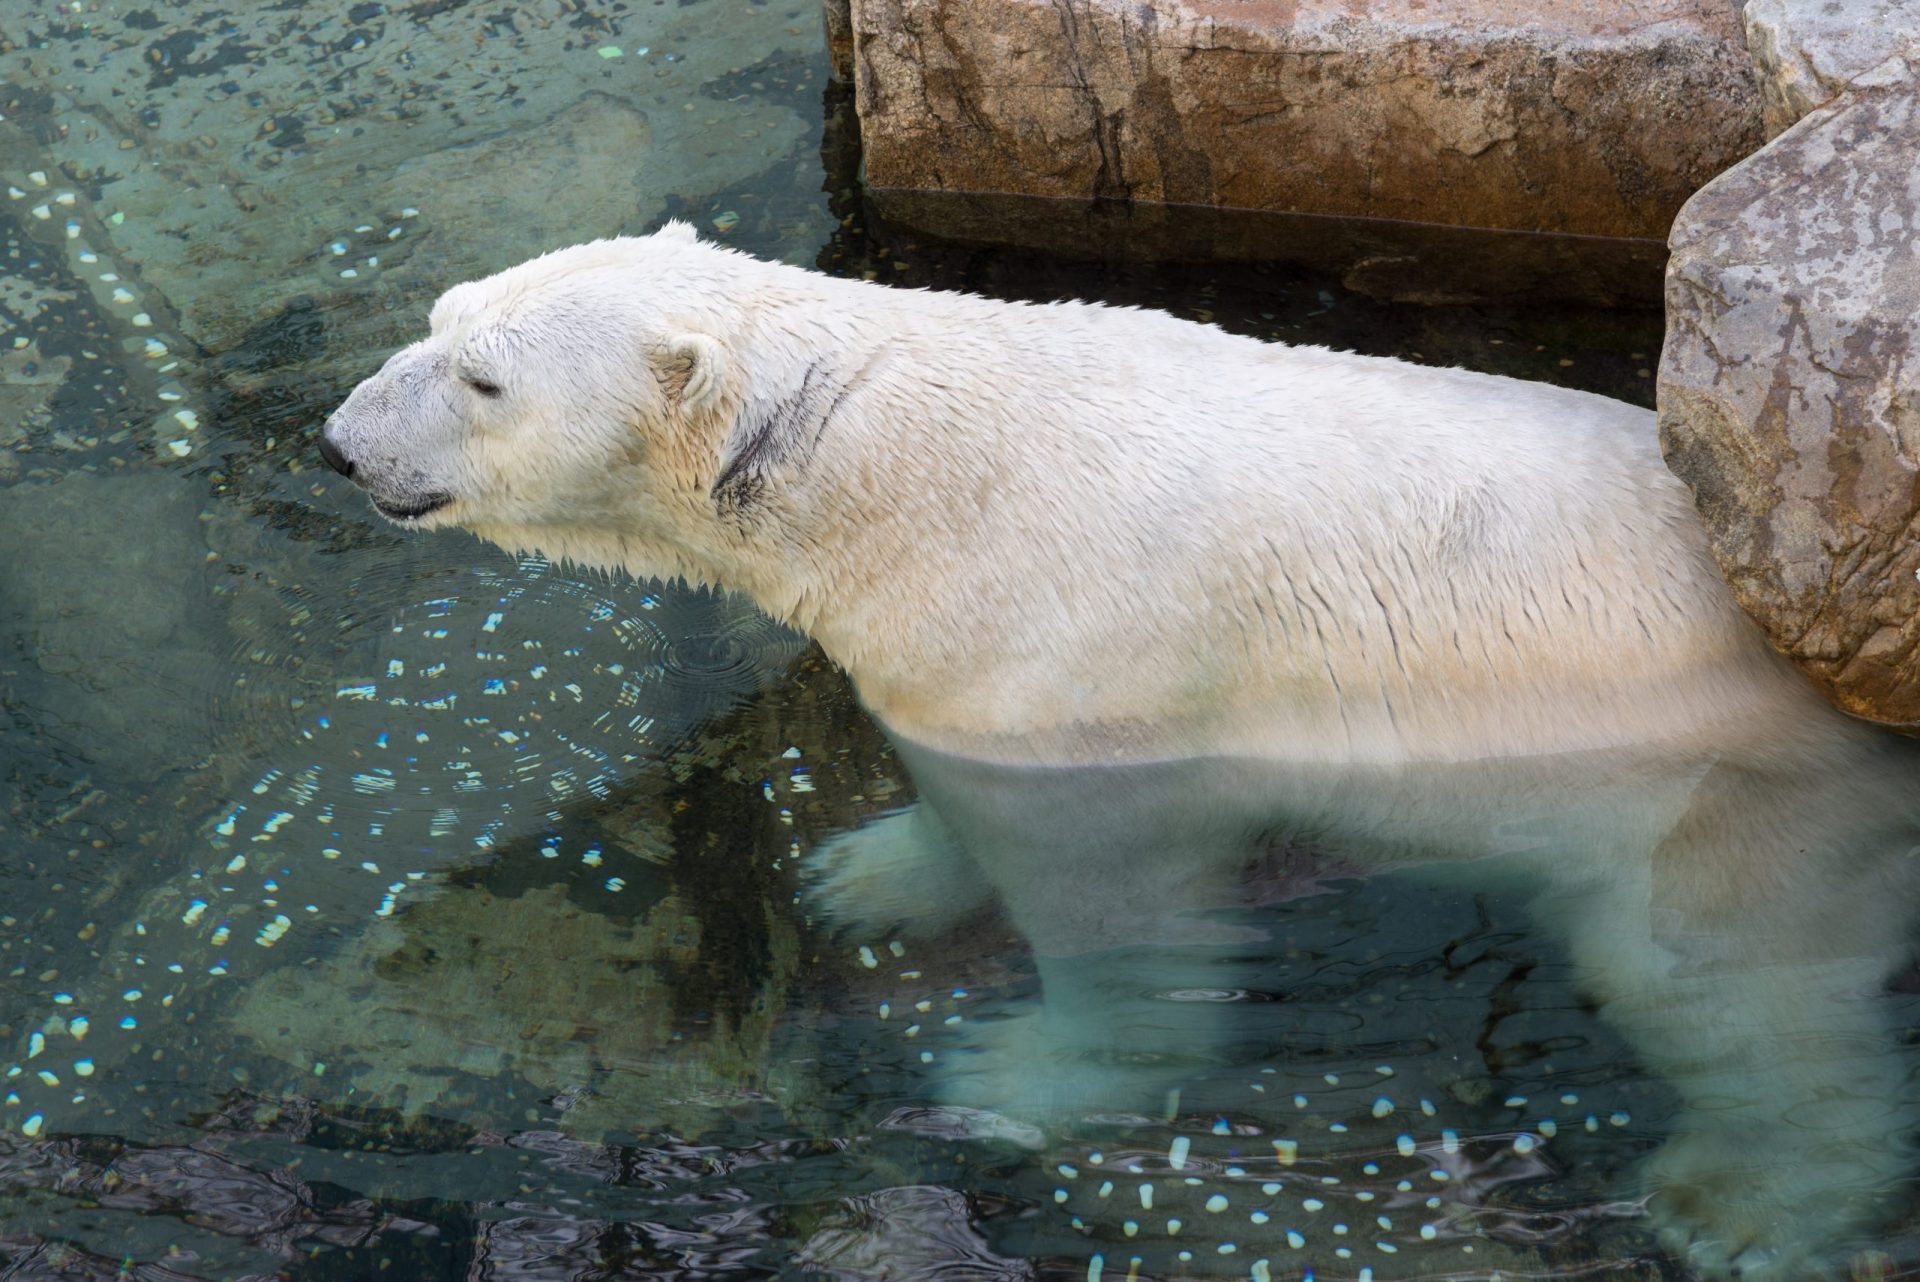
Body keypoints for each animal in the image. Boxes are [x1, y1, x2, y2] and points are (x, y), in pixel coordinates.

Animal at [318, 225, 1920, 1274]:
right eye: (441, 314)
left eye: (484, 381)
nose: (339, 438)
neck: (900, 467)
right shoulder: (955, 651)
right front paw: (866, 876)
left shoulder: (1089, 674)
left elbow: (1113, 905)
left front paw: (1013, 1070)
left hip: (1730, 800)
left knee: (1710, 980)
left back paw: (1743, 1205)